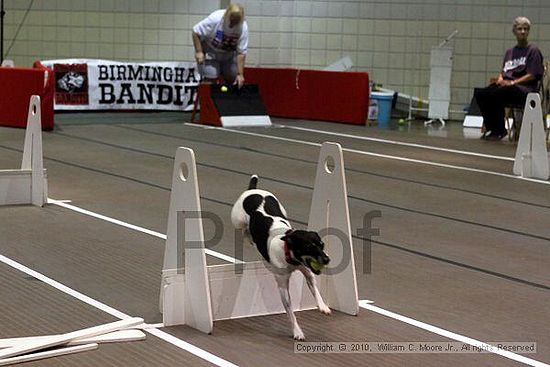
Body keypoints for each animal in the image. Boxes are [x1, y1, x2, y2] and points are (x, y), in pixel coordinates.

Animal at [231, 176, 330, 342]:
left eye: (322, 245)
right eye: (309, 247)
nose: (327, 259)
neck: (288, 253)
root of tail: (252, 189)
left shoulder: (307, 272)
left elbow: (315, 290)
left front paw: (323, 306)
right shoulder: (283, 287)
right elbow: (290, 313)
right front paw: (297, 332)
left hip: (282, 209)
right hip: (237, 220)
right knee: (244, 230)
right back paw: (249, 237)